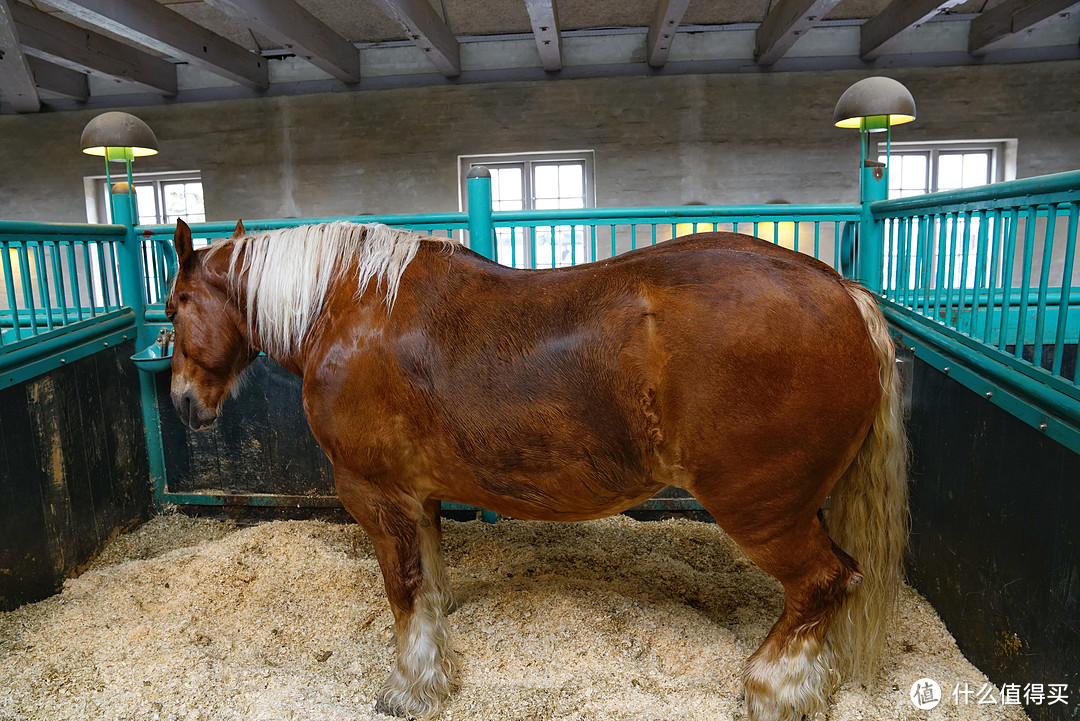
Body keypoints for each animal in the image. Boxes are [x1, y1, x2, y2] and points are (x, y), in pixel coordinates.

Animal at [168, 220, 907, 721]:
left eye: (173, 304)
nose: (180, 401)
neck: (352, 308)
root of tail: (839, 289)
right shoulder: (417, 496)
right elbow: (429, 579)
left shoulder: (374, 494)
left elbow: (404, 590)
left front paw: (410, 687)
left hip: (762, 510)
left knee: (822, 582)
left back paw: (773, 689)